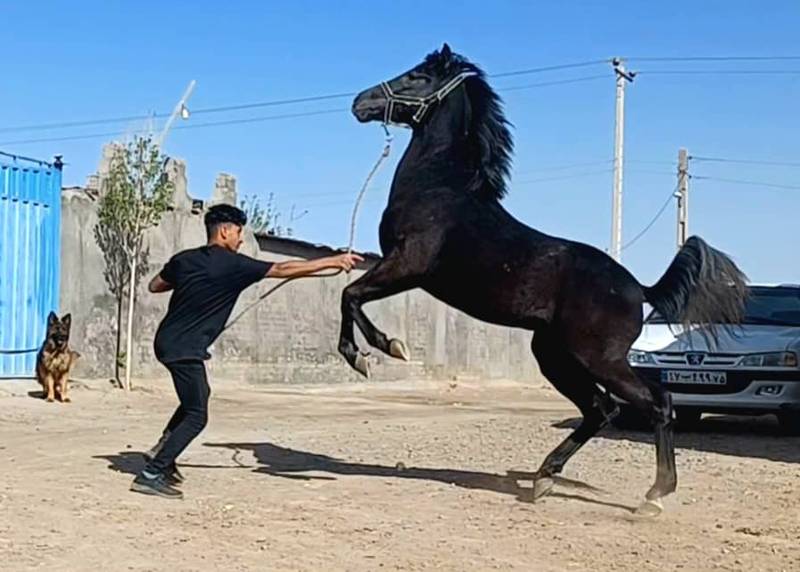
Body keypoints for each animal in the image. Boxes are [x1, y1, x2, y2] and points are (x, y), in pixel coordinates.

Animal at [338, 43, 748, 516]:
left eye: (418, 76)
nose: (360, 102)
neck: (441, 189)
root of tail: (640, 289)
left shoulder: (408, 266)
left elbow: (351, 295)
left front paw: (378, 351)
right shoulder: (402, 268)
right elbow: (351, 296)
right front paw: (371, 352)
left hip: (599, 359)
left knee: (656, 403)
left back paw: (654, 496)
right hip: (554, 355)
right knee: (600, 410)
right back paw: (544, 478)